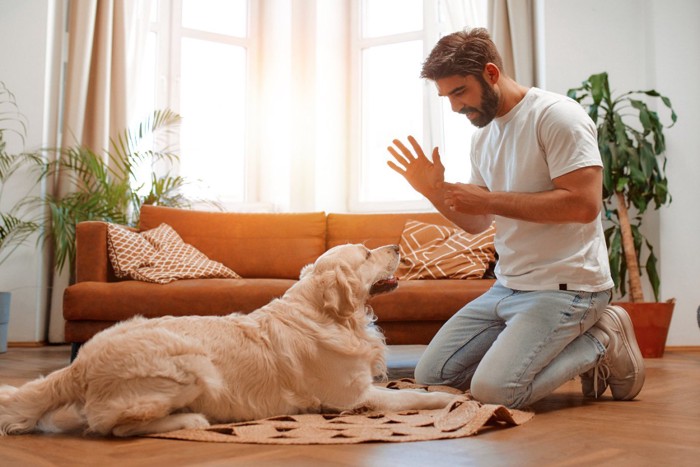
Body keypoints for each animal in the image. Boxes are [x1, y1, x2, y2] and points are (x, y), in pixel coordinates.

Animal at [0, 245, 454, 438]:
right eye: (366, 254)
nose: (396, 245)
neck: (335, 317)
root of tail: (79, 366)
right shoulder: (352, 397)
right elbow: (410, 397)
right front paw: (449, 400)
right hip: (191, 363)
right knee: (113, 427)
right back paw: (190, 421)